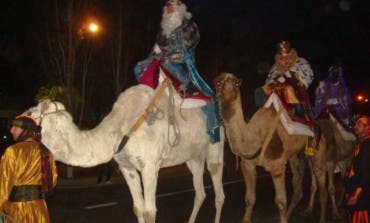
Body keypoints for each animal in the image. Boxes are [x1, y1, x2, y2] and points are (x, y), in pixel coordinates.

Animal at [25, 80, 225, 223]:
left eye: (31, 112)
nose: (19, 121)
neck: (120, 128)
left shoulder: (149, 167)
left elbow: (150, 212)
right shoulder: (126, 167)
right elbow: (138, 208)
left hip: (215, 147)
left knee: (219, 192)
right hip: (193, 157)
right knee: (200, 191)